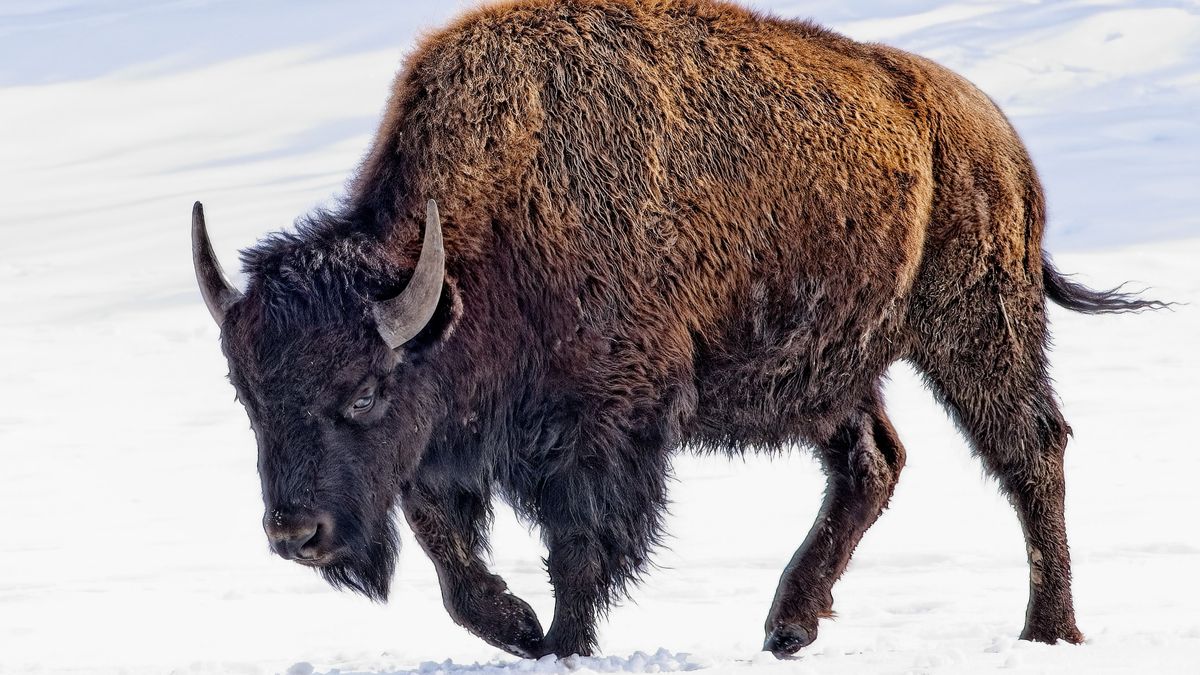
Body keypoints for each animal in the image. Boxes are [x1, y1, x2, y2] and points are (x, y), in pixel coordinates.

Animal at [192, 0, 1156, 658]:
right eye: (248, 398)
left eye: (361, 392)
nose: (295, 535)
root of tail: (995, 136)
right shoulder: (442, 450)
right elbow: (450, 554)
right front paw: (519, 627)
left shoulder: (604, 429)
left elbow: (579, 552)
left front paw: (561, 643)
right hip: (837, 371)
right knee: (874, 461)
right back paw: (789, 626)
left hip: (977, 331)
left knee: (1032, 452)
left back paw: (1048, 631)